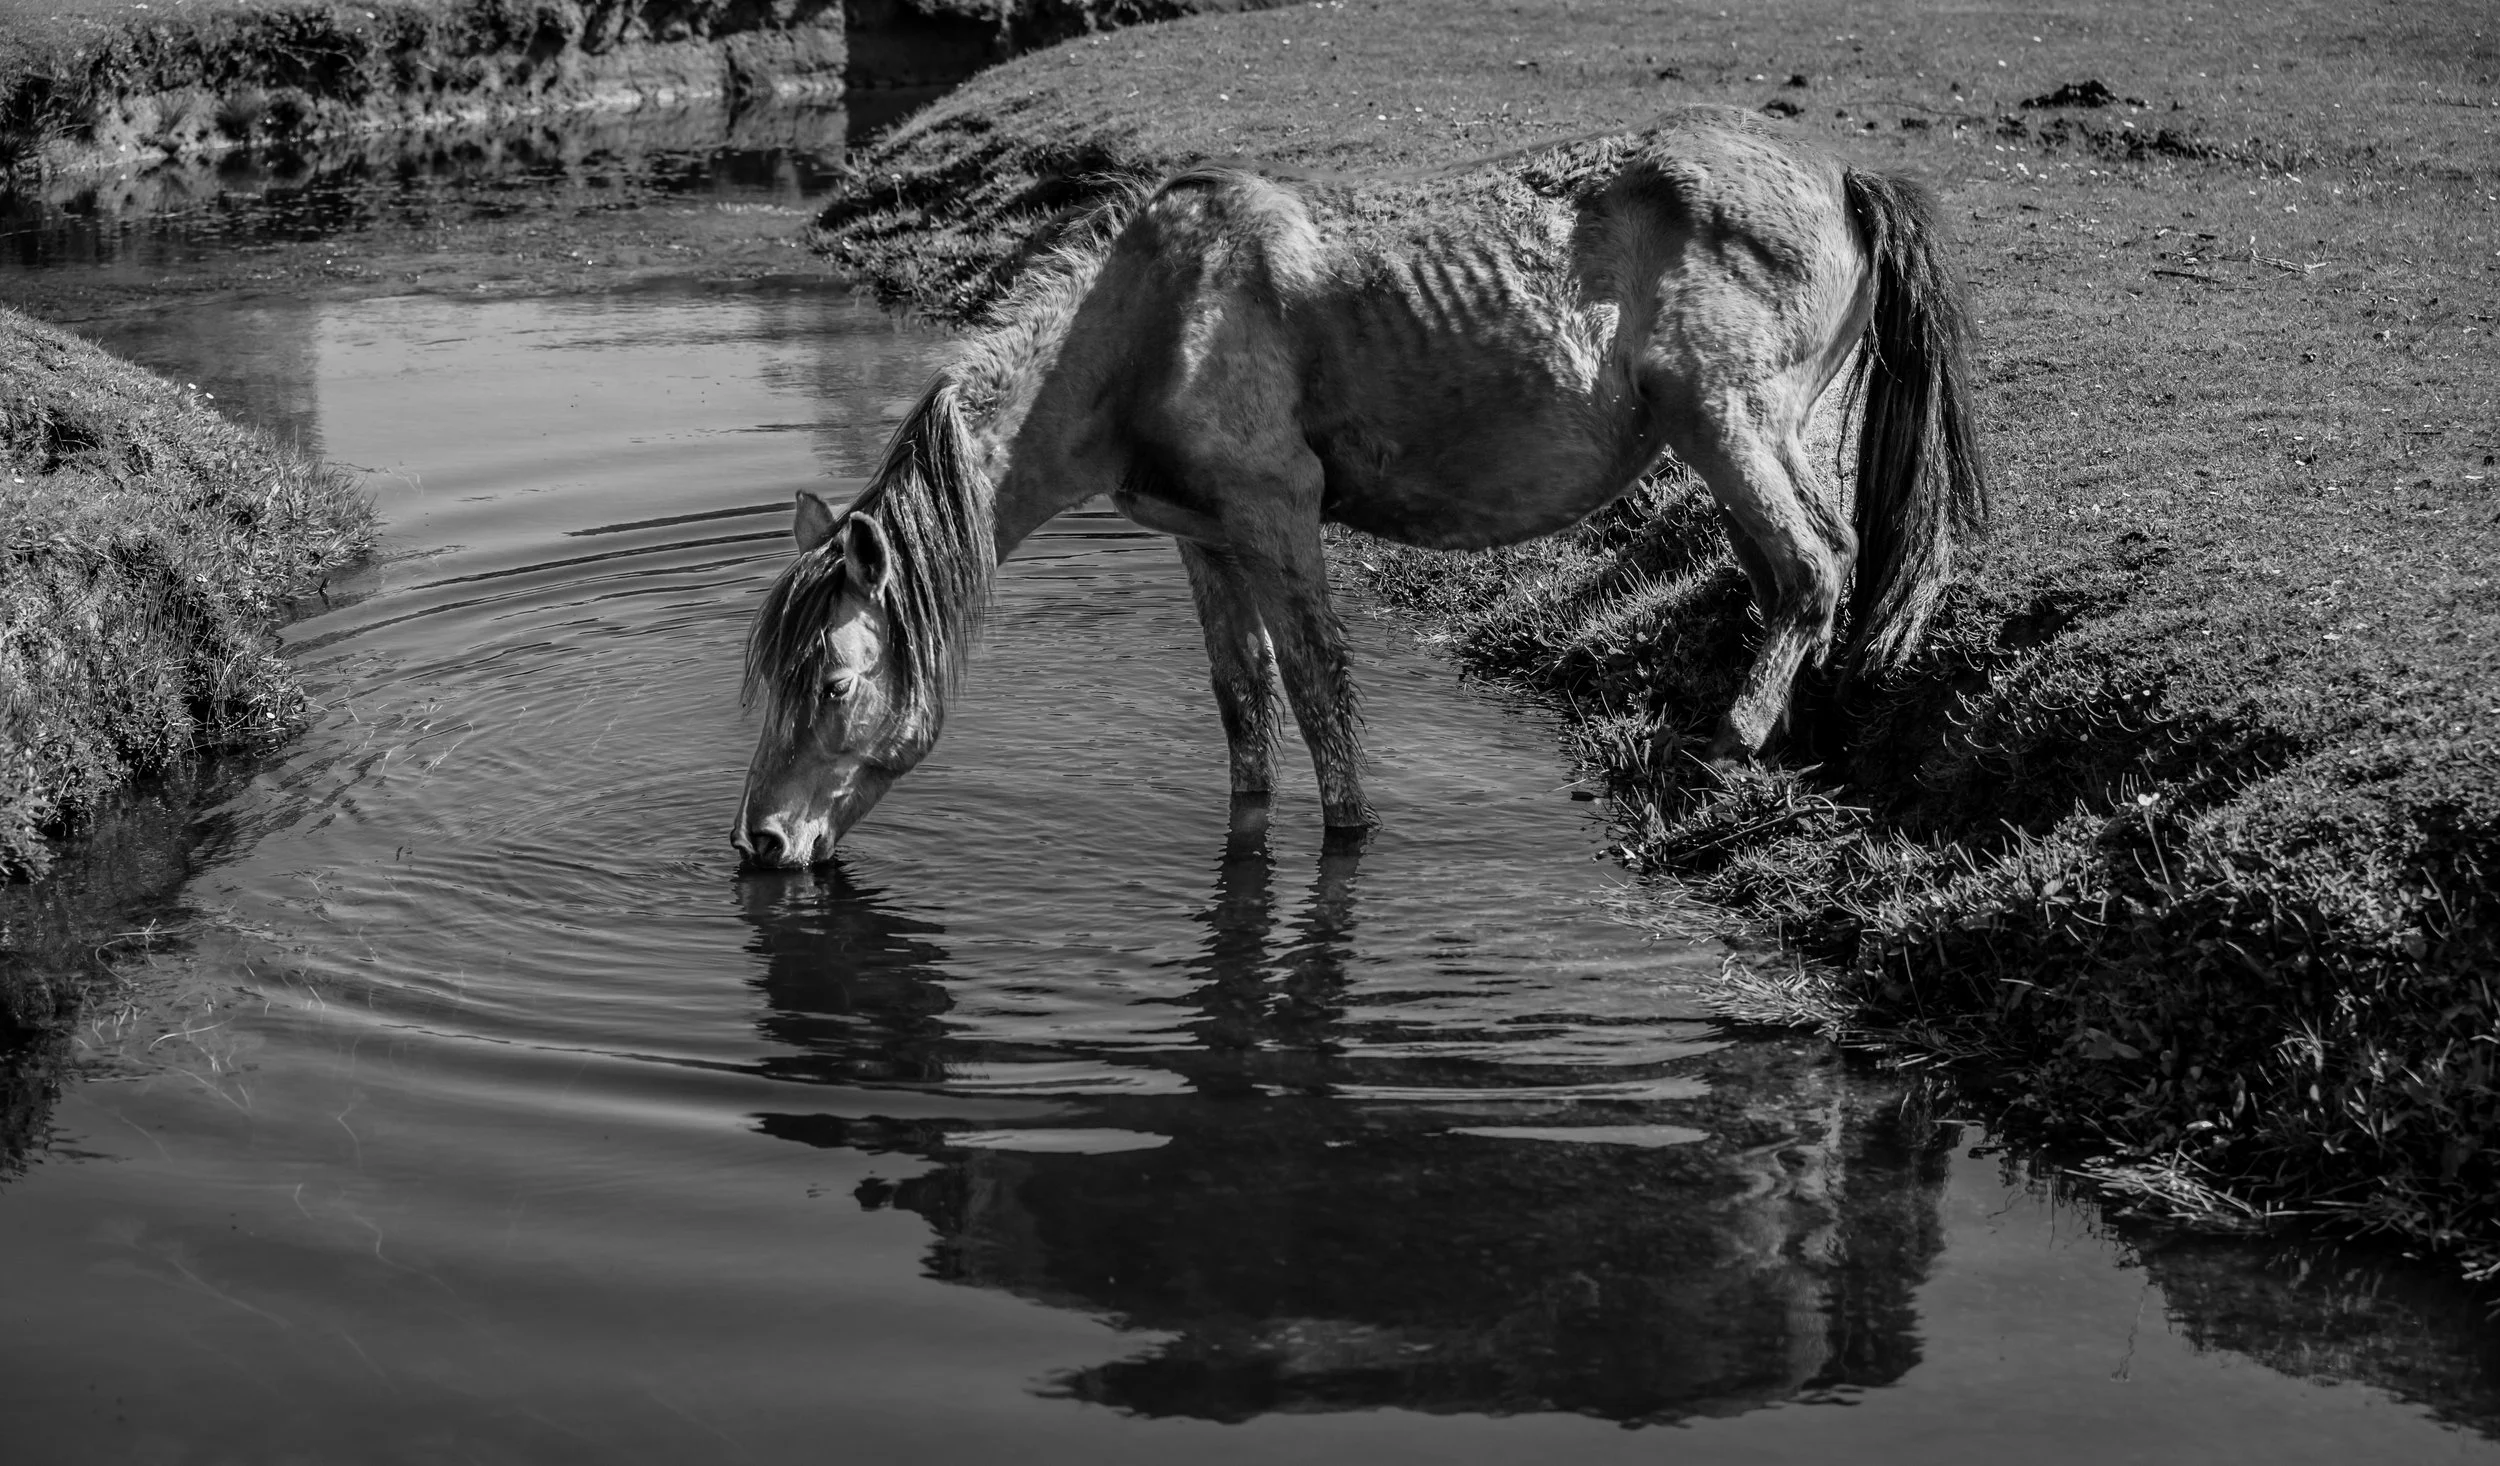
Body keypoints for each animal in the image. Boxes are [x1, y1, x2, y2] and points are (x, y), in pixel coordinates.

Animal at [734, 106, 1986, 869]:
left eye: (835, 683)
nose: (762, 843)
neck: (1142, 319)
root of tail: (1838, 175)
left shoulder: (1277, 514)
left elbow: (1316, 691)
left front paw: (1350, 834)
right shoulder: (1202, 537)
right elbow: (1242, 701)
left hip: (1726, 424)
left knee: (1813, 566)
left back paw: (1728, 739)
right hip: (1767, 436)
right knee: (1808, 573)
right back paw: (1793, 738)